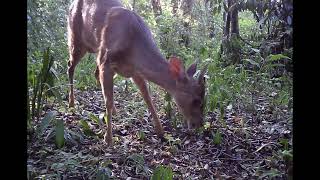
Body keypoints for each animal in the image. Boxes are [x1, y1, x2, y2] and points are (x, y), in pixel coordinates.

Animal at [67, 0, 208, 146]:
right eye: (196, 100)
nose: (200, 124)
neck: (133, 45)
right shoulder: (106, 61)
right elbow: (109, 101)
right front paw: (108, 138)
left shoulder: (135, 71)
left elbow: (147, 98)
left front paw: (161, 132)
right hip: (76, 39)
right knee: (70, 66)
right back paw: (71, 103)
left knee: (94, 73)